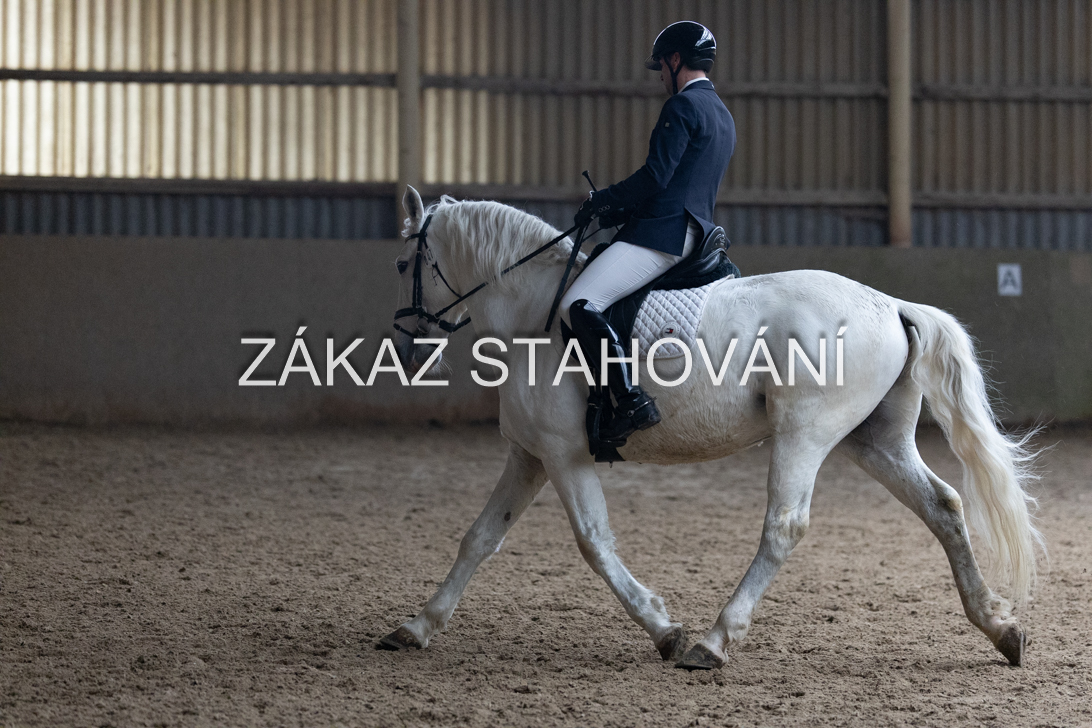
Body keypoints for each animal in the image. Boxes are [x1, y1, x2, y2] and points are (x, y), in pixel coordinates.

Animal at [378, 187, 1043, 670]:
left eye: (404, 261)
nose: (405, 350)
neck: (529, 317)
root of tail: (891, 304)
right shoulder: (530, 455)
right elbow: (479, 538)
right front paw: (416, 627)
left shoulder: (564, 454)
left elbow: (594, 542)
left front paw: (665, 630)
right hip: (874, 441)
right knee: (943, 506)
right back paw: (1000, 628)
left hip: (805, 433)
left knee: (784, 527)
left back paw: (714, 642)